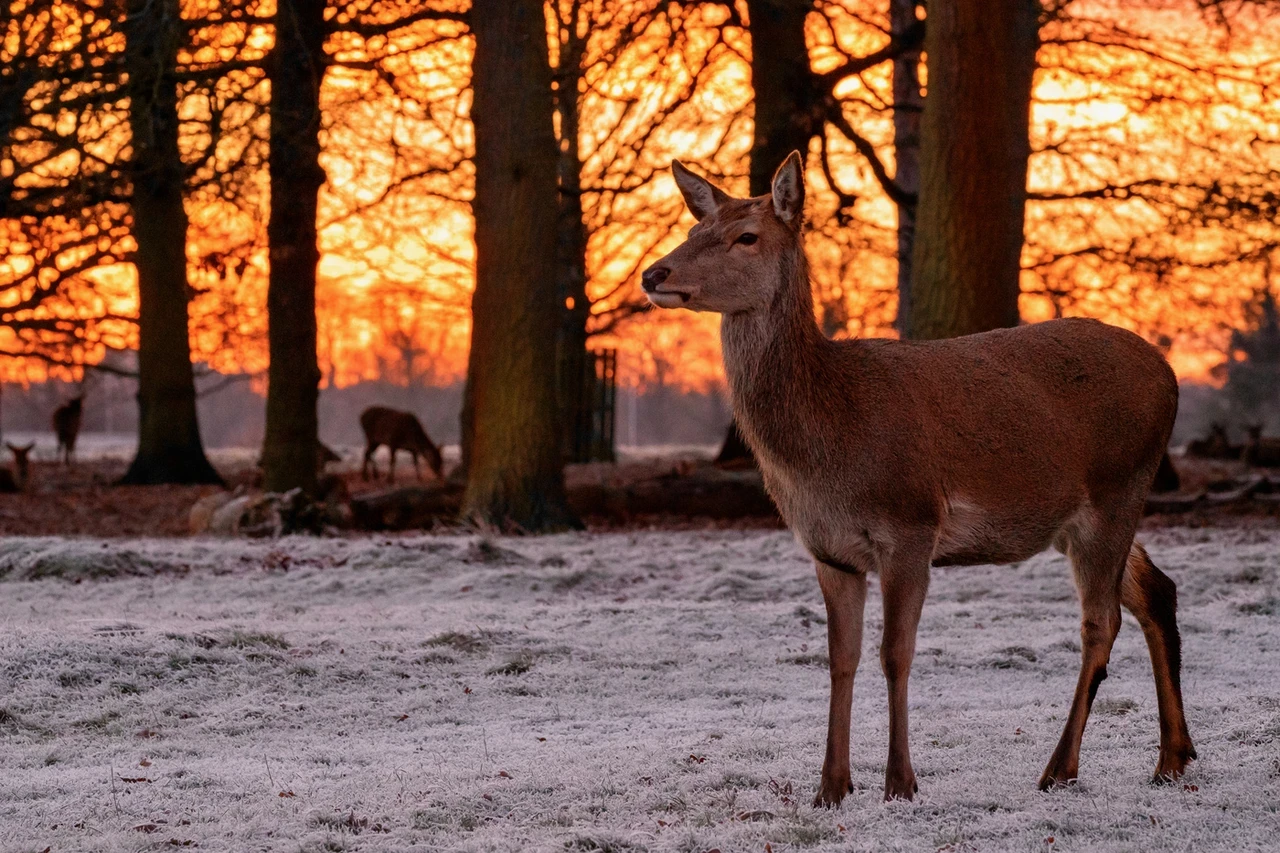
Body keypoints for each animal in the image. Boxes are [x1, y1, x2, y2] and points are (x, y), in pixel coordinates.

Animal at [642, 153, 1195, 807]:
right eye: (695, 226)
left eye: (745, 236)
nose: (653, 273)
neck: (830, 438)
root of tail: (1170, 375)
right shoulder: (829, 550)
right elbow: (841, 658)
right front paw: (831, 787)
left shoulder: (910, 525)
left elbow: (895, 654)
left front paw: (900, 783)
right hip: (1088, 515)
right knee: (1156, 590)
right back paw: (1173, 758)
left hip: (1117, 489)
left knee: (1101, 622)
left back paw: (1060, 768)